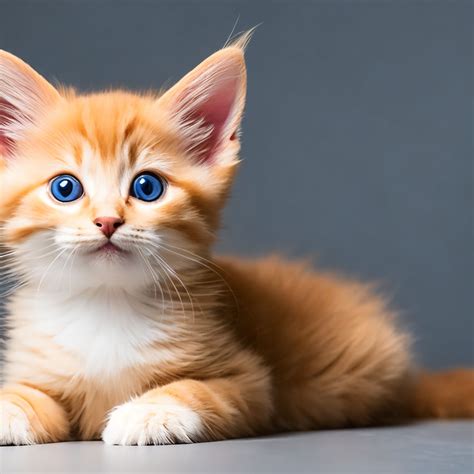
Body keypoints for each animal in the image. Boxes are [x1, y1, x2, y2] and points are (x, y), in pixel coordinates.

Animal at [0, 36, 474, 444]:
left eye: (148, 187)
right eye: (65, 188)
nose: (107, 221)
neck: (105, 302)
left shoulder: (251, 382)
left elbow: (197, 389)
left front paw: (149, 411)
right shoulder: (35, 365)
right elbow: (27, 392)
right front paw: (12, 408)